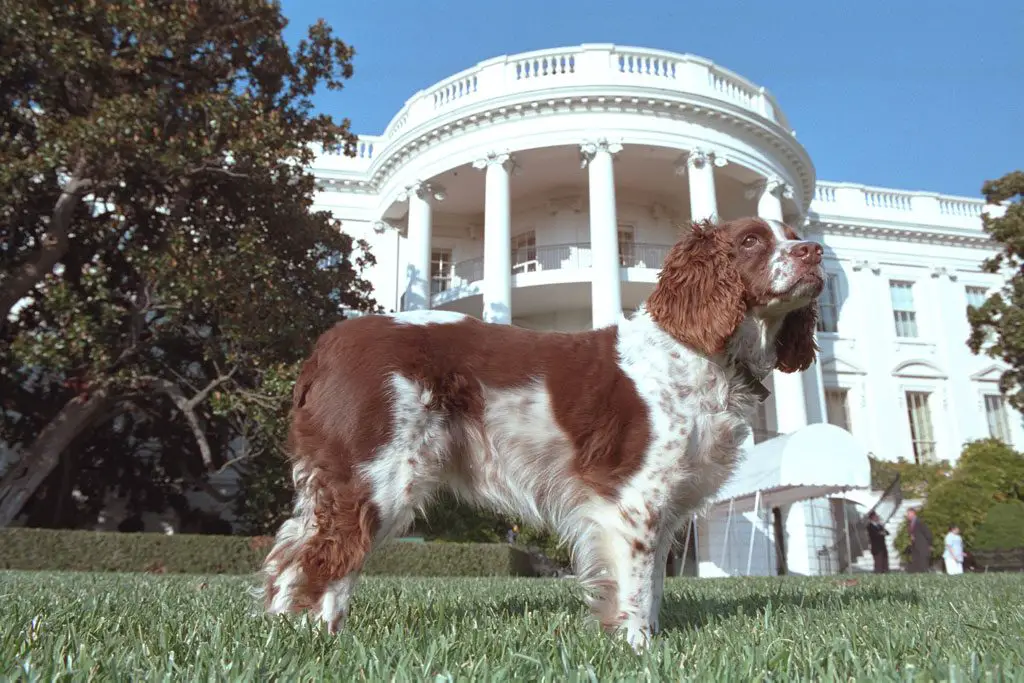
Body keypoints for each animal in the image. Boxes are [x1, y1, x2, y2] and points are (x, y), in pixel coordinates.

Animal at [258, 216, 823, 651]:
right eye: (750, 240)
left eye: (794, 235)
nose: (816, 253)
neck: (700, 352)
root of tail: (329, 342)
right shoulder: (636, 500)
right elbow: (637, 587)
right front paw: (639, 648)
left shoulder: (664, 508)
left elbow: (656, 586)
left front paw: (650, 641)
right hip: (383, 476)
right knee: (328, 557)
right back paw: (323, 638)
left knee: (294, 554)